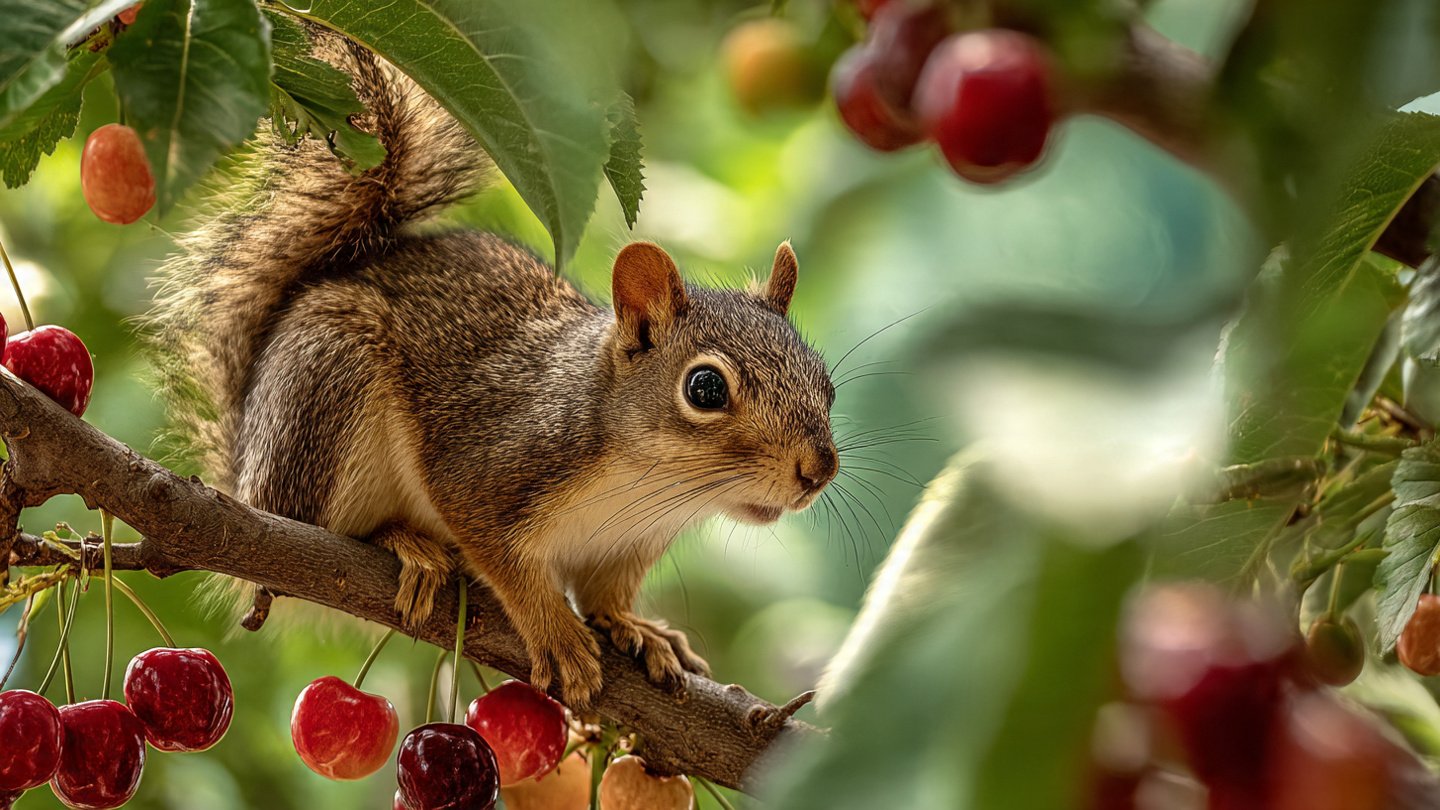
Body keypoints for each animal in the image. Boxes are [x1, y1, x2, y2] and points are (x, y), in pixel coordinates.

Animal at [150, 35, 839, 706]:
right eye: (705, 388)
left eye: (826, 384)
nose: (819, 470)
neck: (644, 484)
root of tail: (247, 468)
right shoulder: (491, 462)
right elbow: (502, 556)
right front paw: (556, 633)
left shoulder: (626, 547)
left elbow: (606, 596)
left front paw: (637, 628)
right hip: (326, 387)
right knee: (315, 521)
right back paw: (405, 545)